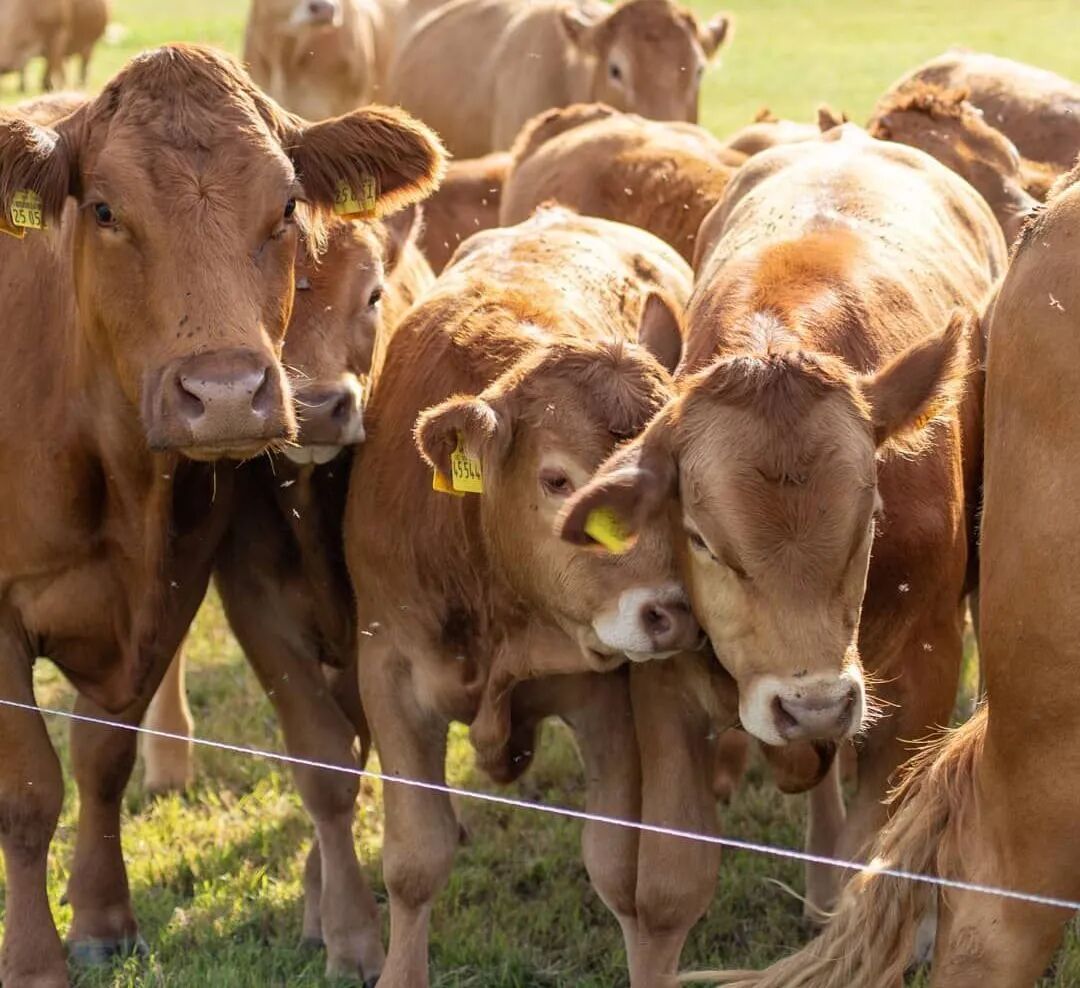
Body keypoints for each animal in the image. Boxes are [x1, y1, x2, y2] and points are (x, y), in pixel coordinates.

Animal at [0, 43, 443, 987]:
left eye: (286, 206)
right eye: (104, 208)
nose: (228, 394)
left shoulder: (169, 588)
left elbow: (101, 757)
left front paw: (103, 917)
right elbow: (27, 790)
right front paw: (35, 961)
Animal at [346, 205, 707, 987]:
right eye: (557, 480)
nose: (671, 614)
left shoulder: (604, 696)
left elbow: (617, 868)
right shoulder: (387, 670)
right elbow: (414, 860)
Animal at [558, 126, 1005, 967]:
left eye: (870, 517)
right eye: (700, 538)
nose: (813, 703)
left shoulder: (925, 668)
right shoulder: (668, 679)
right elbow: (665, 889)